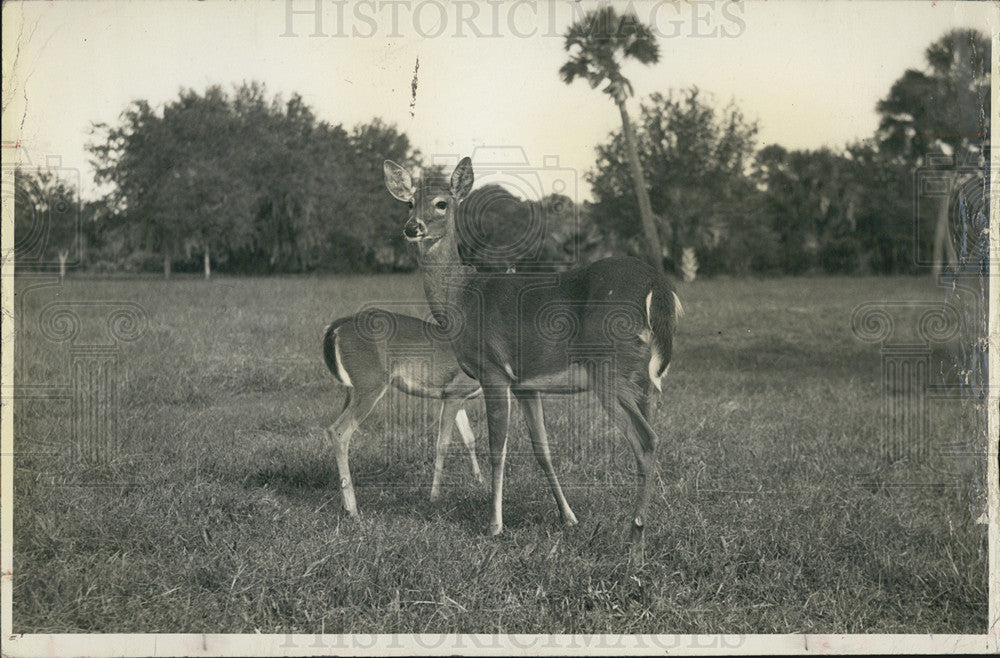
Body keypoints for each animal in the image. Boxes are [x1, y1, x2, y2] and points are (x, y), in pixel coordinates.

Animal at [324, 308, 484, 516]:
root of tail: (337, 327)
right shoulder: (454, 392)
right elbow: (443, 444)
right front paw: (434, 497)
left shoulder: (455, 397)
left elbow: (469, 438)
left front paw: (480, 481)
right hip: (370, 382)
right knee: (339, 430)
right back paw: (353, 510)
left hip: (353, 389)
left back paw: (345, 503)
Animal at [382, 156, 680, 552]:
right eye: (409, 203)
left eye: (442, 203)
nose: (412, 228)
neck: (462, 298)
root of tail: (656, 285)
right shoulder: (526, 382)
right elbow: (543, 450)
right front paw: (568, 517)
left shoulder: (493, 369)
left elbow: (498, 449)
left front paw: (494, 525)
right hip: (644, 378)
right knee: (650, 435)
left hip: (608, 366)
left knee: (646, 440)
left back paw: (635, 535)